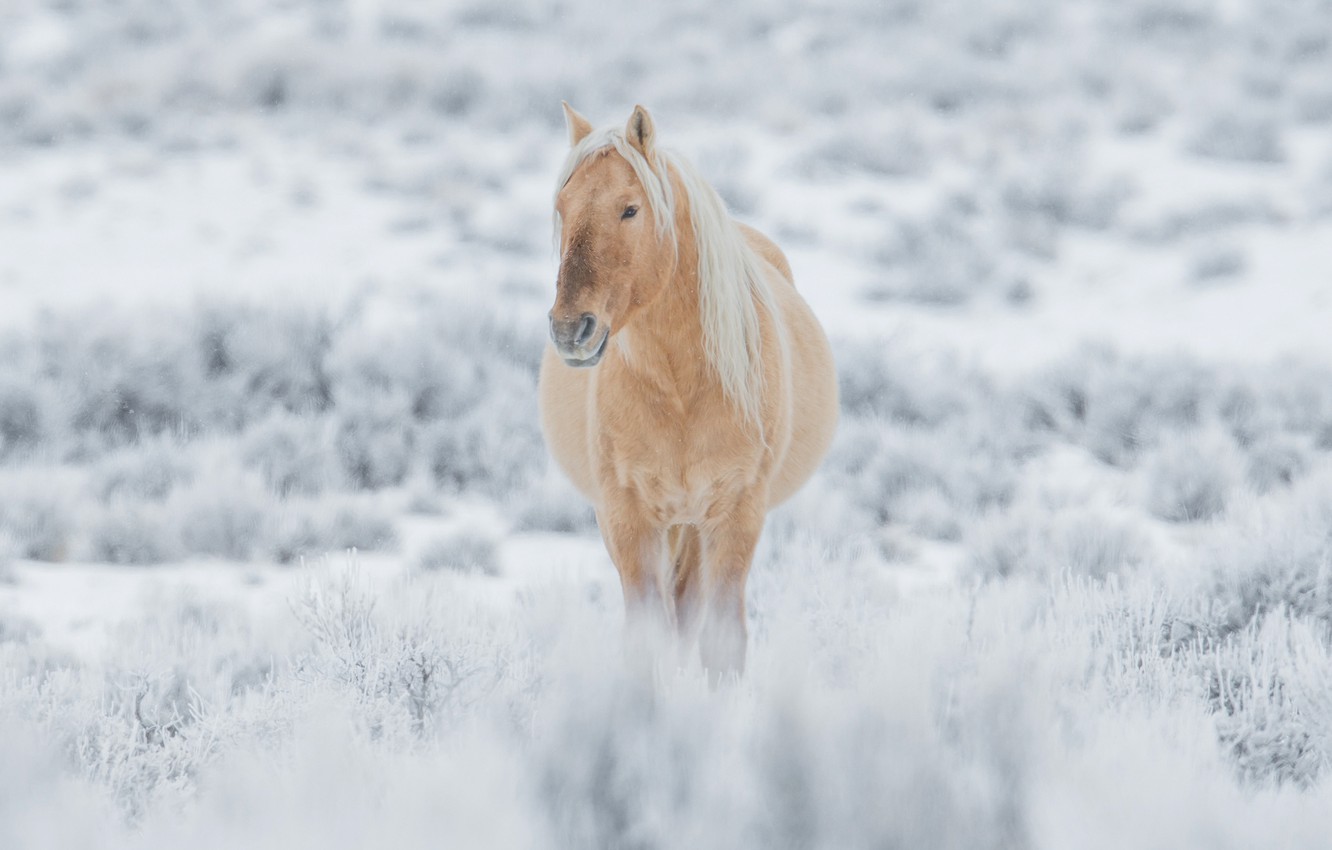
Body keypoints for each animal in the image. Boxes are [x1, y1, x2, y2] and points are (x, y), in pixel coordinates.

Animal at [538, 103, 831, 676]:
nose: (570, 330)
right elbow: (645, 640)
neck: (681, 392)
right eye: (562, 206)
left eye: (630, 209)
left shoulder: (736, 515)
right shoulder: (627, 518)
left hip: (694, 529)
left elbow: (722, 641)